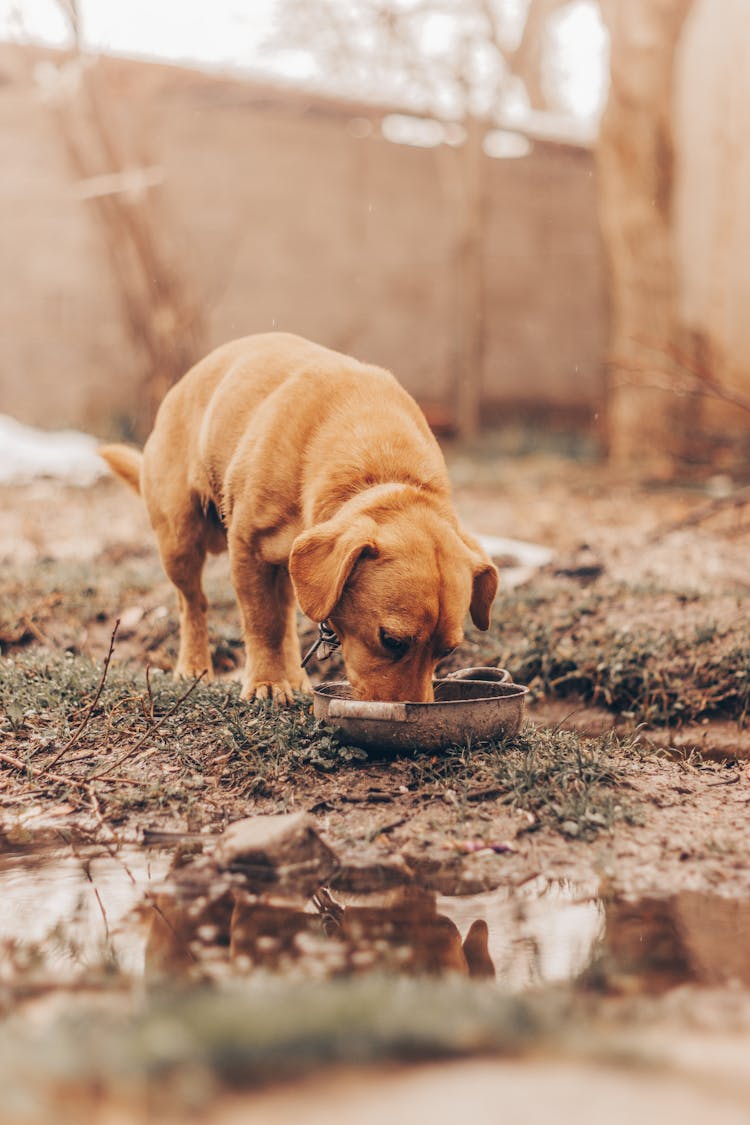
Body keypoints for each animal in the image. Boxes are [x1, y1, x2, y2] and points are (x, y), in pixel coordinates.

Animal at [99, 333, 499, 702]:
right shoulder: (247, 548)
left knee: (286, 614)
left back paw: (294, 676)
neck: (381, 467)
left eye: (448, 651)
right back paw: (195, 667)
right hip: (180, 541)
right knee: (192, 604)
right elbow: (263, 623)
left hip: (290, 564)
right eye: (391, 640)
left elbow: (279, 623)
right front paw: (266, 683)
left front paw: (280, 678)